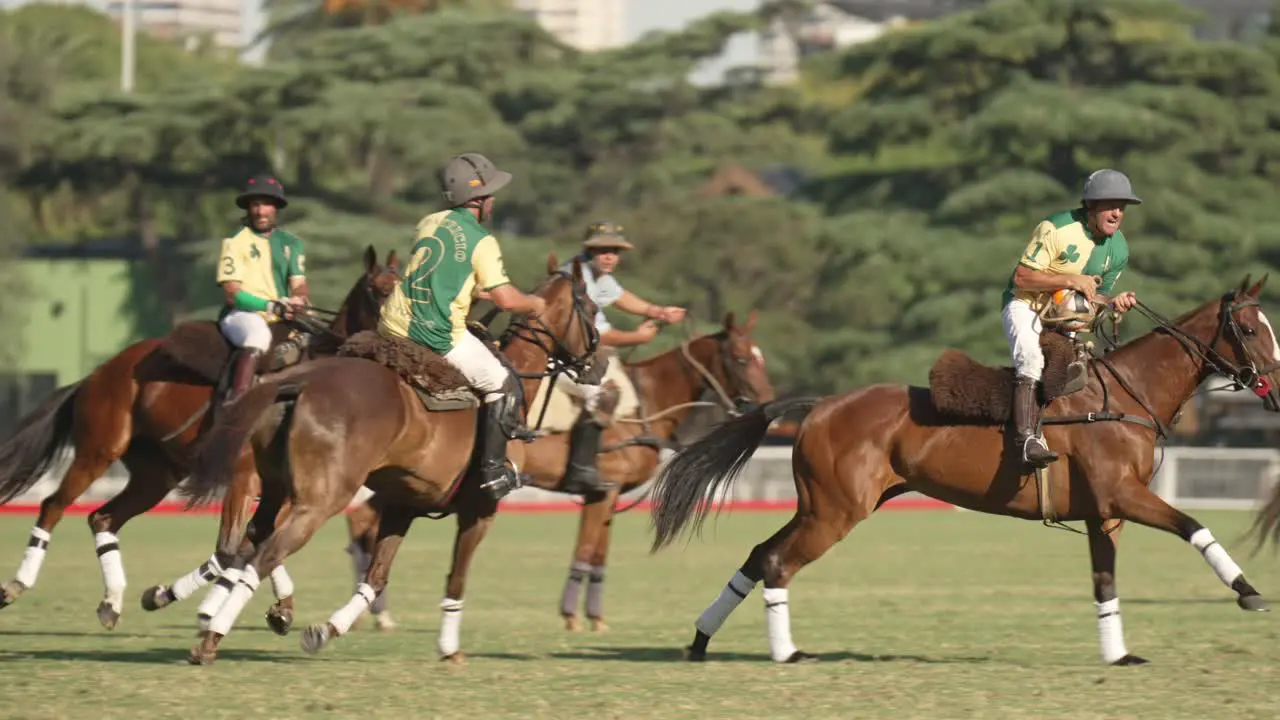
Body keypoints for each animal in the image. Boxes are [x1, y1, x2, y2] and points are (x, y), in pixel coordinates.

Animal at [0, 243, 399, 625]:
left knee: (103, 518)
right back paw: (18, 584)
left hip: (157, 474)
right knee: (53, 505)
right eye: (380, 290)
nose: (396, 341)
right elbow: (233, 548)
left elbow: (255, 545)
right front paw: (188, 602)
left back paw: (111, 603)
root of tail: (97, 374)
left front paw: (275, 608)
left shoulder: (286, 492)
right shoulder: (243, 480)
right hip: (99, 450)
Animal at [175, 254, 599, 666]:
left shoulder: (402, 504)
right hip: (320, 499)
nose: (597, 366)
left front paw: (325, 630)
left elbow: (375, 577)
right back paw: (211, 636)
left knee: (250, 539)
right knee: (265, 552)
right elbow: (456, 580)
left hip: (276, 487)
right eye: (592, 308)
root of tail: (296, 380)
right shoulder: (480, 509)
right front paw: (450, 649)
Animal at [345, 308, 773, 627]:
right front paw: (572, 616)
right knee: (361, 522)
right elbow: (586, 549)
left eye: (760, 357)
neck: (646, 404)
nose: (767, 404)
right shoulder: (604, 489)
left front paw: (593, 617)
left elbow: (598, 554)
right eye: (740, 359)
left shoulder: (606, 494)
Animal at [650, 274, 1280, 661]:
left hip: (822, 505)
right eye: (1250, 329)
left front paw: (1119, 654)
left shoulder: (1105, 512)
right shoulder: (1123, 496)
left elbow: (1105, 581)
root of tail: (818, 404)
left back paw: (700, 640)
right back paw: (786, 652)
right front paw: (1249, 592)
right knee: (779, 563)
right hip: (835, 513)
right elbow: (1195, 526)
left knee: (760, 555)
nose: (1273, 388)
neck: (1127, 394)